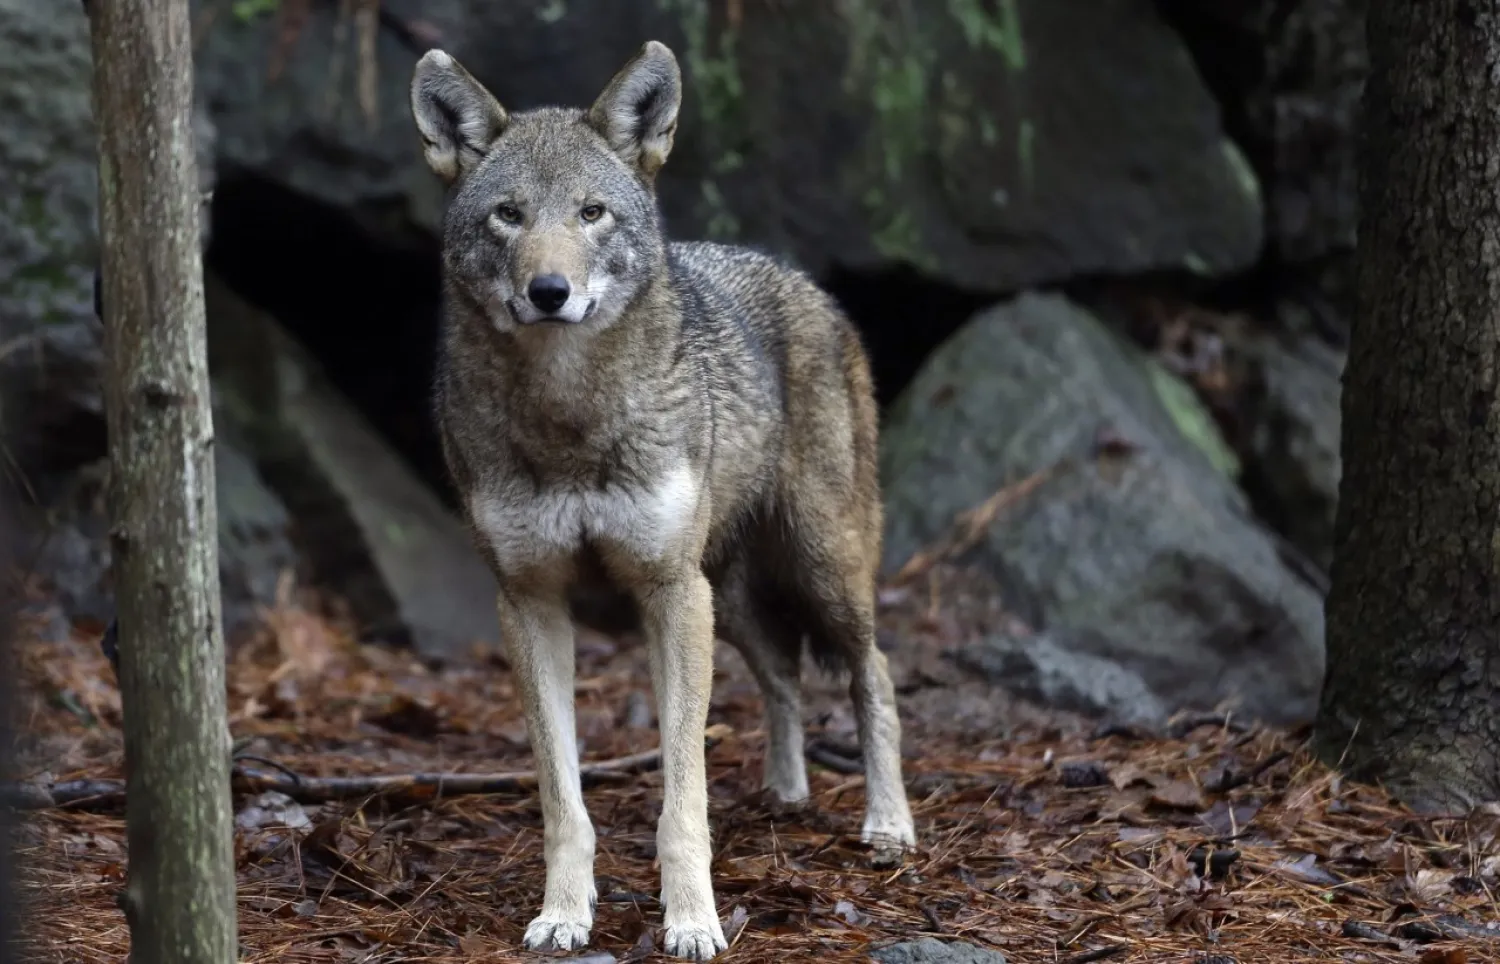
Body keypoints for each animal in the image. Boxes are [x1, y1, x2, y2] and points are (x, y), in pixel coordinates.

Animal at [409, 40, 916, 960]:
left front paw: (692, 921)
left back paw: (889, 825)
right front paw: (564, 914)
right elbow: (563, 799)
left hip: (817, 571)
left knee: (876, 674)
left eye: (592, 213)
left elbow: (683, 797)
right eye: (508, 215)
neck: (569, 420)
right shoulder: (530, 601)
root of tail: (806, 283)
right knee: (786, 677)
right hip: (733, 600)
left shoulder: (669, 592)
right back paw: (785, 794)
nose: (548, 291)